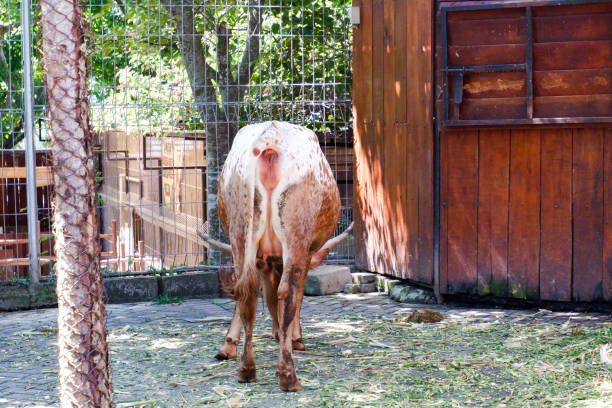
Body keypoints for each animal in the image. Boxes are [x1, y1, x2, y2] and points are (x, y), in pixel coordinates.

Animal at [200, 122, 352, 392]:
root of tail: (270, 141)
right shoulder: (304, 254)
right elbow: (292, 297)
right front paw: (294, 338)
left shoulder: (264, 258)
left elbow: (266, 296)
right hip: (296, 235)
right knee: (288, 292)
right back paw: (288, 376)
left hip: (241, 232)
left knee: (246, 291)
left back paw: (247, 369)